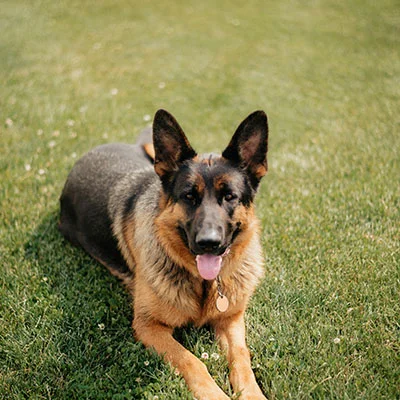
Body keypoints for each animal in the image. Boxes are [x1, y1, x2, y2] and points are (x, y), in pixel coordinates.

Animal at [58, 109, 268, 400]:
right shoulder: (149, 326)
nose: (209, 243)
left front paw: (253, 393)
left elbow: (241, 357)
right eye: (189, 196)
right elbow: (192, 360)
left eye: (230, 196)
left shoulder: (231, 318)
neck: (203, 285)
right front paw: (214, 394)